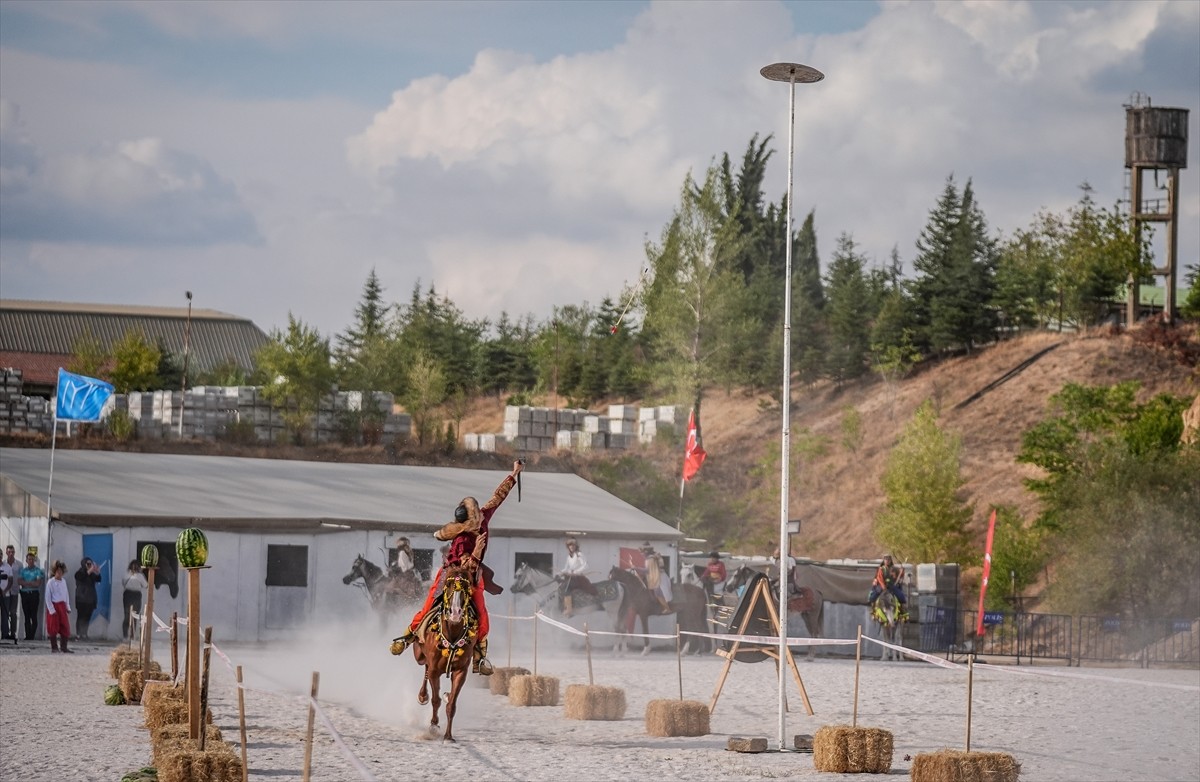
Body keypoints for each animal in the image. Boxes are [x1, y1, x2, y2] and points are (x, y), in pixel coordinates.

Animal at [412, 561, 477, 738]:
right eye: (449, 585)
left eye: (467, 587)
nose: (455, 613)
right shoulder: (435, 669)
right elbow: (435, 700)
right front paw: (434, 726)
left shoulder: (461, 671)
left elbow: (452, 705)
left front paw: (448, 736)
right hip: (419, 655)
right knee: (425, 667)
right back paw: (422, 695)